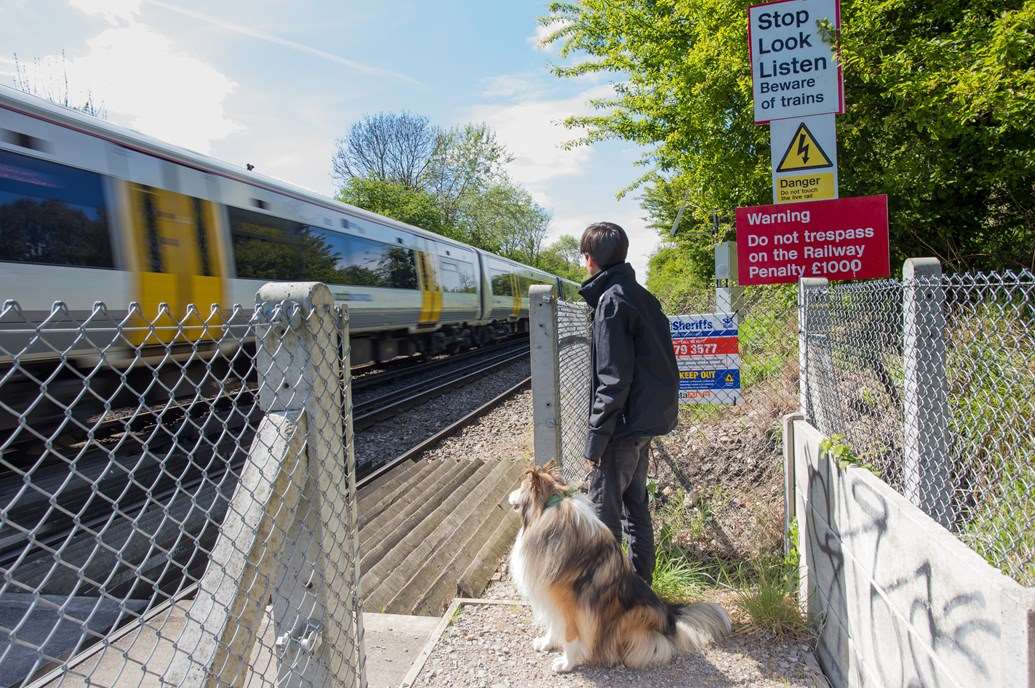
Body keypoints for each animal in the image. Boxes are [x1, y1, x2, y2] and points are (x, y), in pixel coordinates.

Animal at [507, 461, 732, 670]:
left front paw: (566, 663)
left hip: (630, 616)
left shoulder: (571, 606)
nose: (508, 495)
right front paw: (547, 643)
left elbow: (570, 636)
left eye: (521, 486)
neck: (547, 512)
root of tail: (670, 617)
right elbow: (554, 626)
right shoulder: (550, 598)